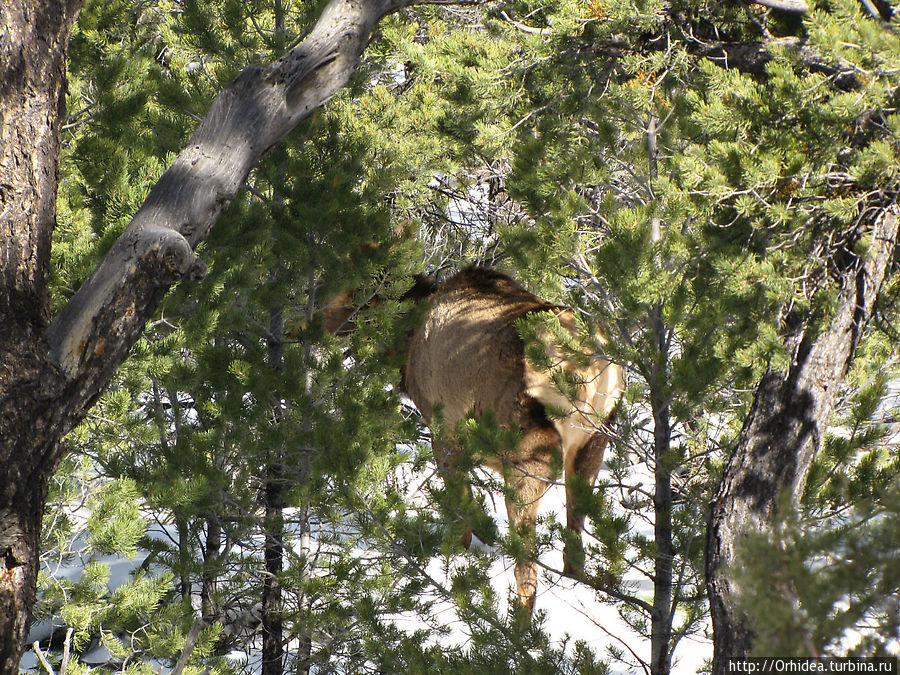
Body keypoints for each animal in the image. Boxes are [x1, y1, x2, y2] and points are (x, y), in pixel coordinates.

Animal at [324, 266, 624, 616]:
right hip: (596, 437)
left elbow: (461, 508)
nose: (304, 323)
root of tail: (583, 364)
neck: (405, 348)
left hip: (527, 453)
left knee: (527, 568)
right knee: (574, 541)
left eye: (343, 290)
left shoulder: (442, 426)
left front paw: (455, 554)